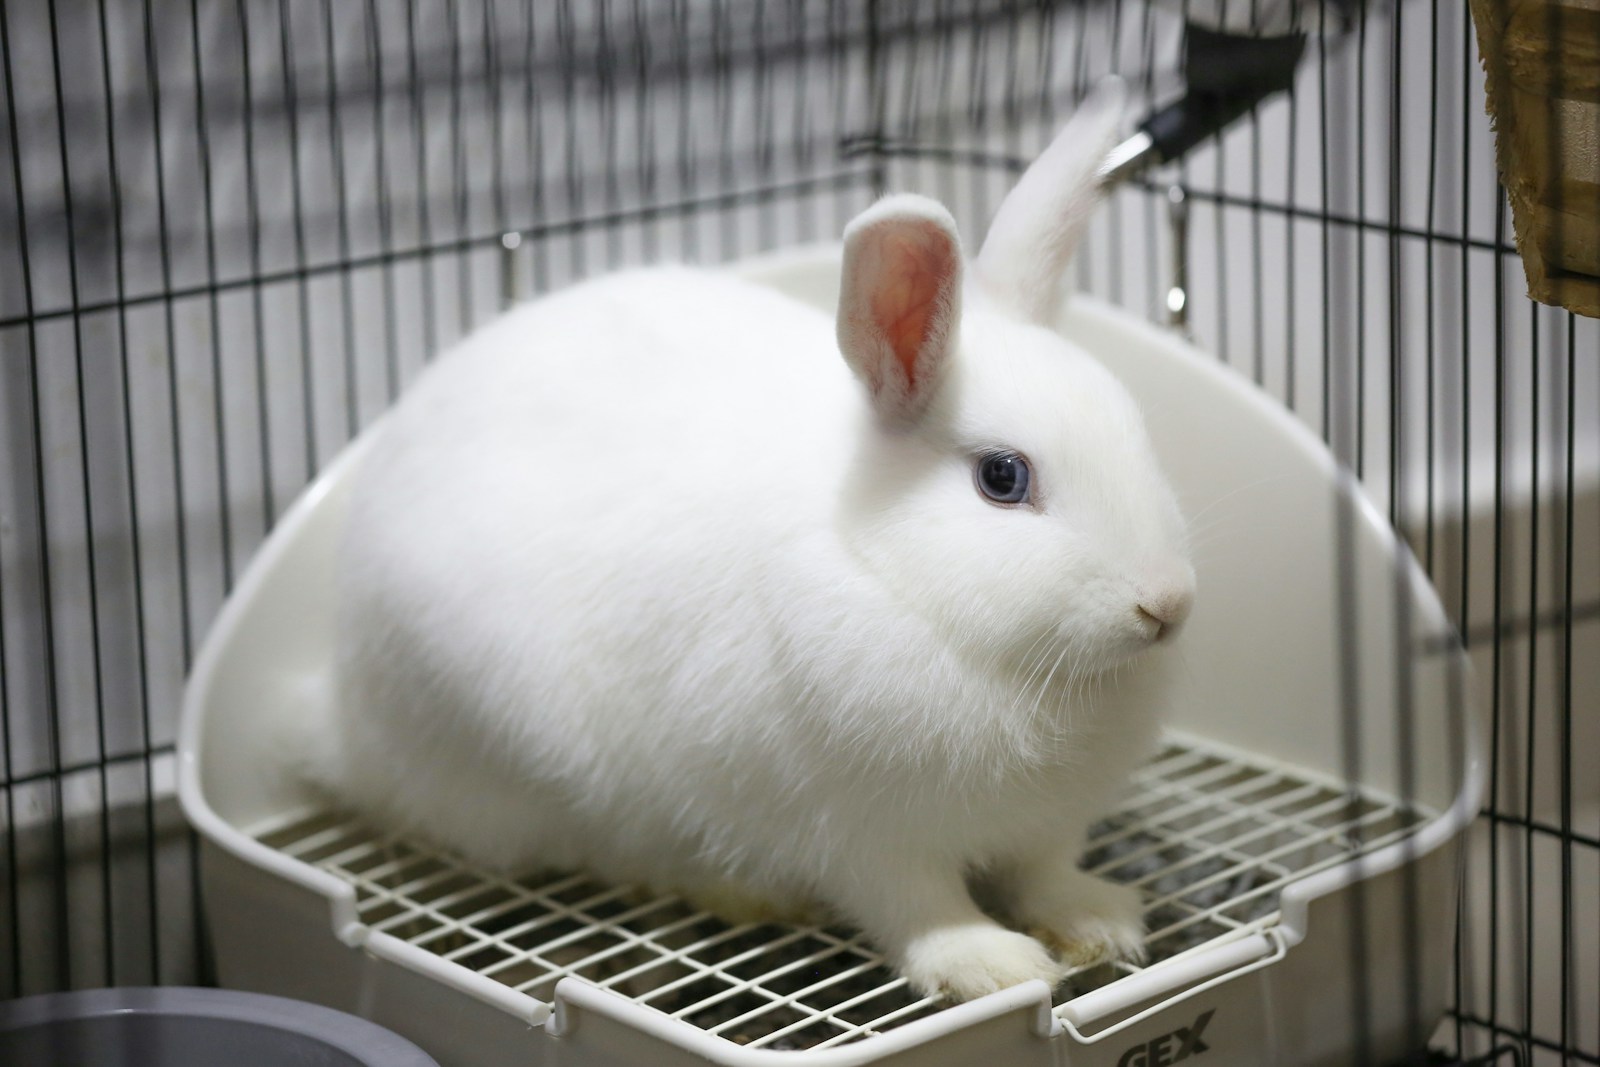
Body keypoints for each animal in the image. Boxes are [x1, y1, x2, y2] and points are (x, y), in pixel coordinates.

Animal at [319, 84, 1196, 1003]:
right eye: (1002, 476)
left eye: (1135, 429)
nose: (1166, 604)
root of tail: (340, 721)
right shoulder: (857, 832)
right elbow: (919, 908)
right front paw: (989, 965)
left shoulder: (1046, 825)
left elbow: (1044, 874)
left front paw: (1099, 922)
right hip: (523, 758)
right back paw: (739, 893)